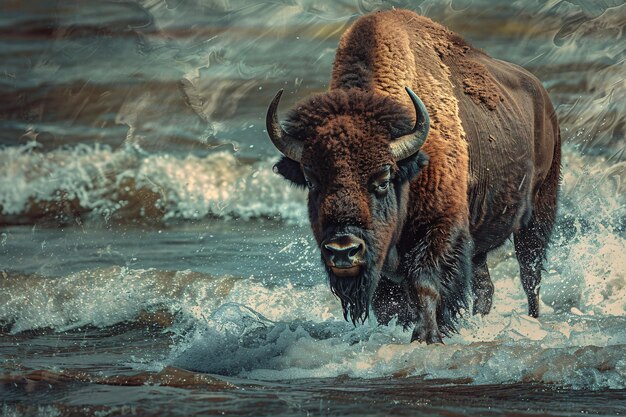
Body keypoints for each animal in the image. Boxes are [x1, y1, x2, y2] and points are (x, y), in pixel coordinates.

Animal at [266, 9, 560, 342]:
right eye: (312, 181)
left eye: (382, 179)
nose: (343, 250)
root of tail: (543, 98)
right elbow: (390, 303)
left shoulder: (440, 227)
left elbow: (425, 285)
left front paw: (427, 336)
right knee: (486, 285)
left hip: (540, 210)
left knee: (530, 273)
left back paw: (533, 320)